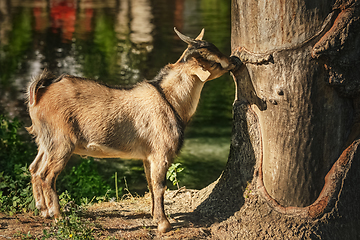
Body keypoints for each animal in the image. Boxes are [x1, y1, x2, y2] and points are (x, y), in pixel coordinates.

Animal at [26, 27, 235, 232]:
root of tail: (39, 94)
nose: (234, 60)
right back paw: (58, 216)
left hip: (46, 141)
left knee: (34, 168)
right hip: (62, 142)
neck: (171, 100)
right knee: (47, 175)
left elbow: (150, 183)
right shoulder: (161, 153)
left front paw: (154, 216)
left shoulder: (148, 156)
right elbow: (160, 185)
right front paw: (164, 224)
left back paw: (43, 210)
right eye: (213, 60)